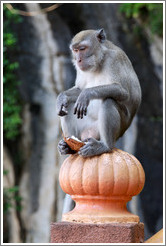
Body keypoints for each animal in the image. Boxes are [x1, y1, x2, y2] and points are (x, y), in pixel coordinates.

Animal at [56, 27, 141, 157]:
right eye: (75, 50)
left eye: (82, 49)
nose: (78, 59)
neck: (100, 59)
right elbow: (79, 89)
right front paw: (62, 97)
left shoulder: (114, 59)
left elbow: (123, 91)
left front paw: (86, 94)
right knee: (68, 105)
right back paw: (68, 147)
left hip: (115, 130)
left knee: (109, 100)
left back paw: (105, 146)